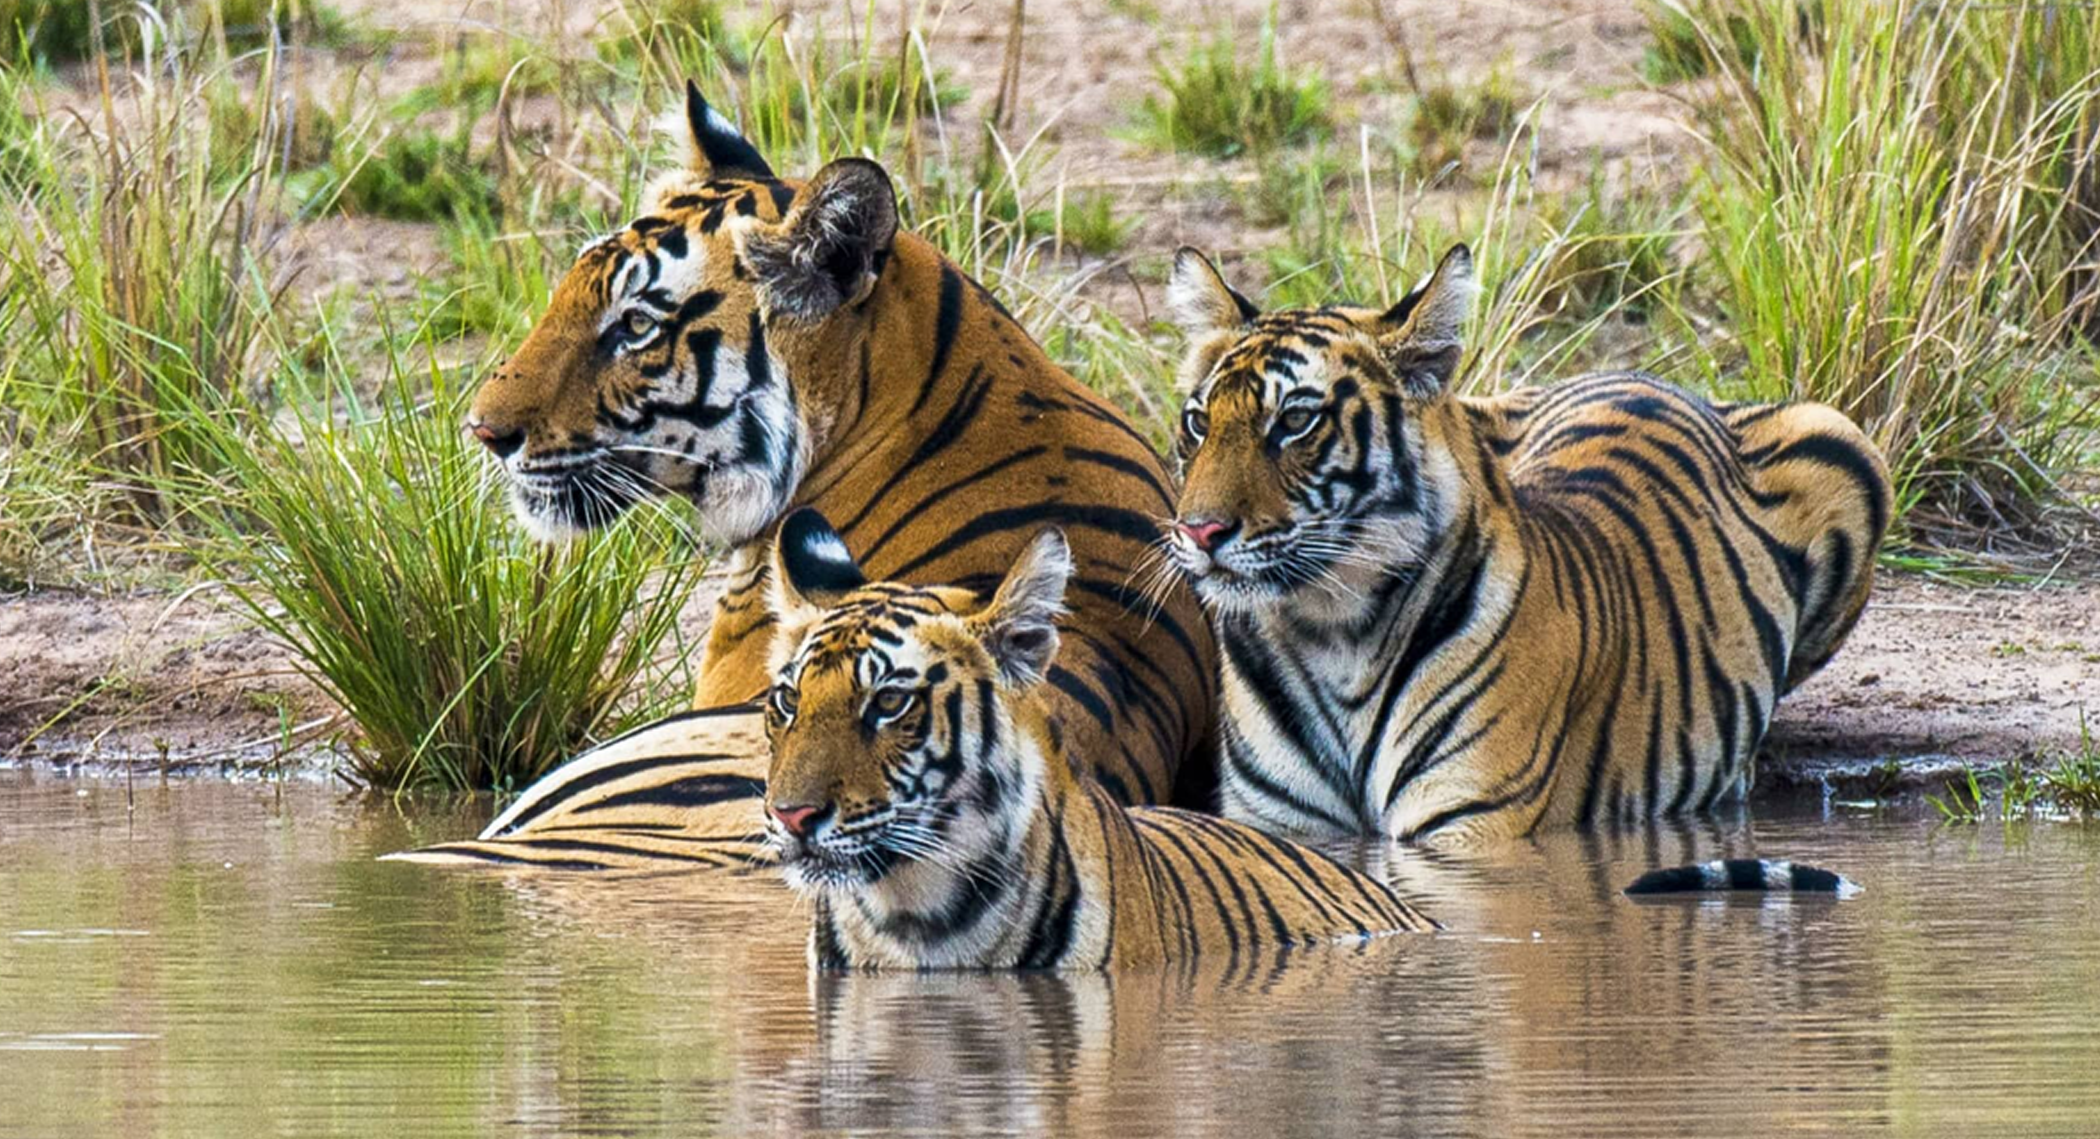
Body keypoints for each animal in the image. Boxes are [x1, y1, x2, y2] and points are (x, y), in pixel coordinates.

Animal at [1159, 243, 1893, 845]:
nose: (1198, 530)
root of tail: (1644, 376)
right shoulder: (1278, 827)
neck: (1330, 631)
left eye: (1295, 421)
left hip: (1844, 436)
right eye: (1197, 423)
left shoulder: (1470, 822)